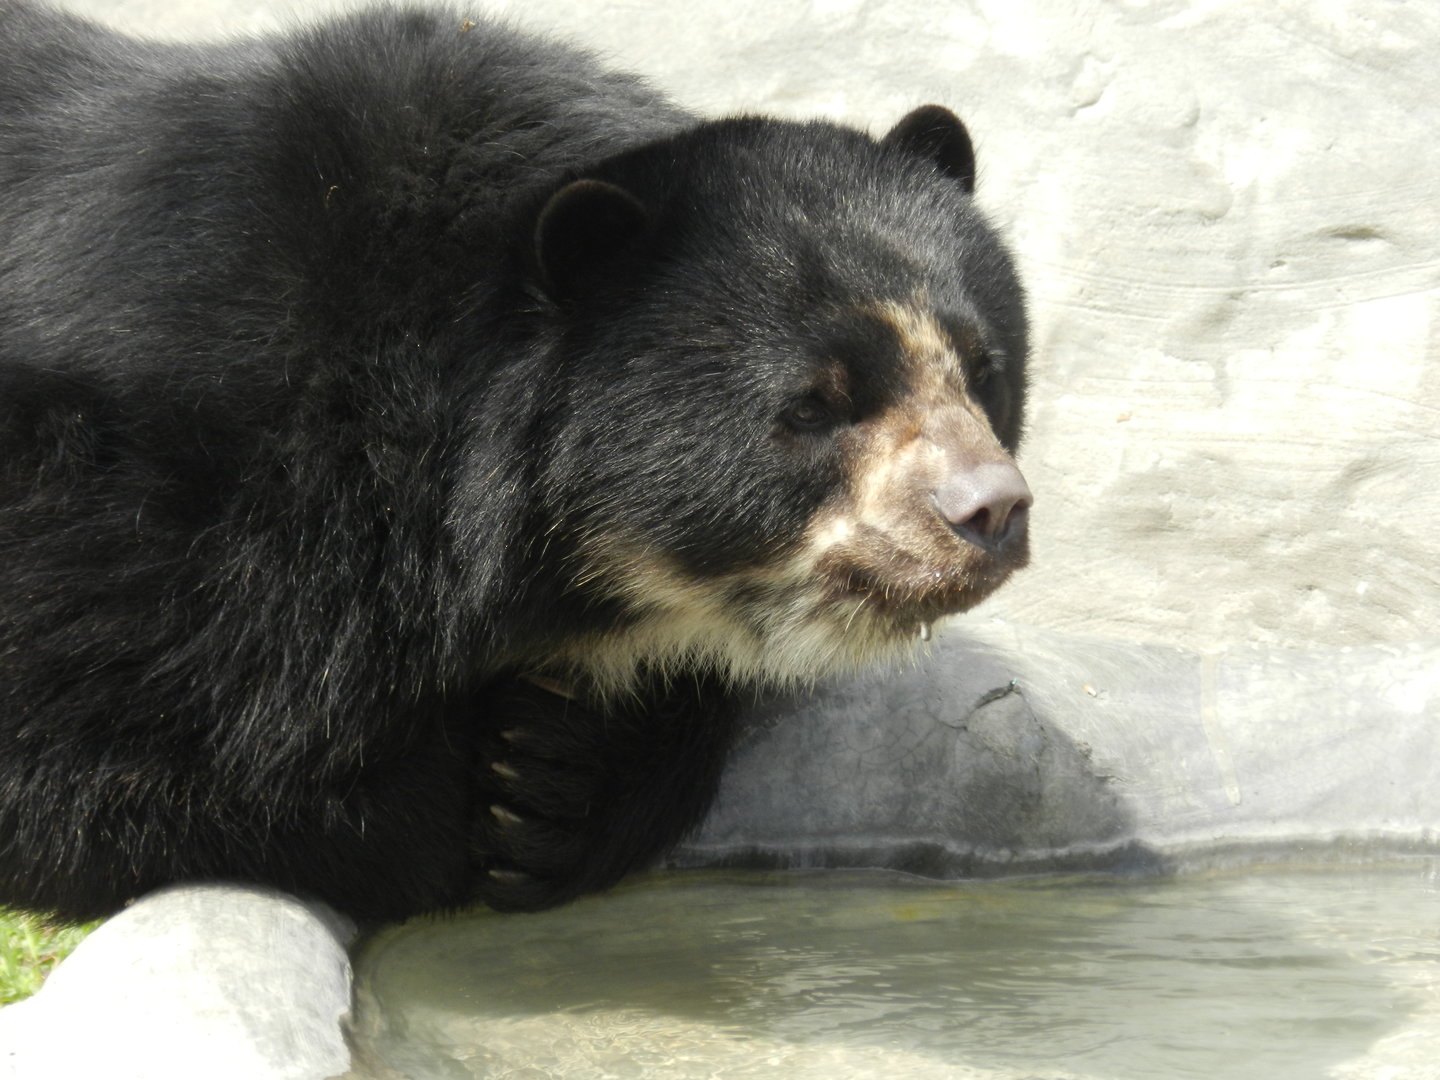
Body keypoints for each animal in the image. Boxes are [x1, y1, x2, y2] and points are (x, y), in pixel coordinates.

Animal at [0, 2, 1031, 922]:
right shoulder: (149, 487)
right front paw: (452, 797)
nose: (990, 511)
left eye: (983, 371)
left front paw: (549, 782)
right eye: (816, 405)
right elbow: (79, 734)